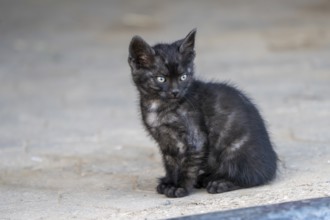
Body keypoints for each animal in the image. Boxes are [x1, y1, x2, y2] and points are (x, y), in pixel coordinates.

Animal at [127, 29, 278, 198]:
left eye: (183, 77)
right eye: (161, 79)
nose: (175, 92)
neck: (159, 106)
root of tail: (272, 165)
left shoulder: (196, 138)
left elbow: (188, 166)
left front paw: (180, 187)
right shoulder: (166, 142)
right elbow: (170, 164)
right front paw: (169, 182)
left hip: (233, 151)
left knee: (251, 177)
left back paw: (219, 183)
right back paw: (205, 178)